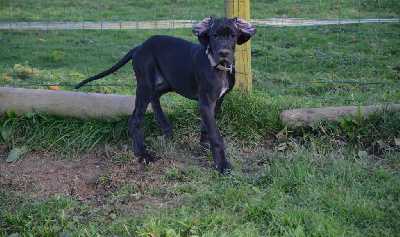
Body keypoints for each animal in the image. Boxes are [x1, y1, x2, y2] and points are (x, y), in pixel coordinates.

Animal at [75, 16, 256, 172]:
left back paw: (164, 125)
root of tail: (140, 46)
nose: (223, 53)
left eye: (233, 35)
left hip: (171, 80)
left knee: (150, 99)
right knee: (137, 119)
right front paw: (222, 165)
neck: (218, 67)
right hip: (146, 83)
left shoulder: (217, 100)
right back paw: (142, 154)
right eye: (214, 35)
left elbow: (207, 127)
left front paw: (205, 146)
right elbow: (216, 135)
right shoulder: (205, 103)